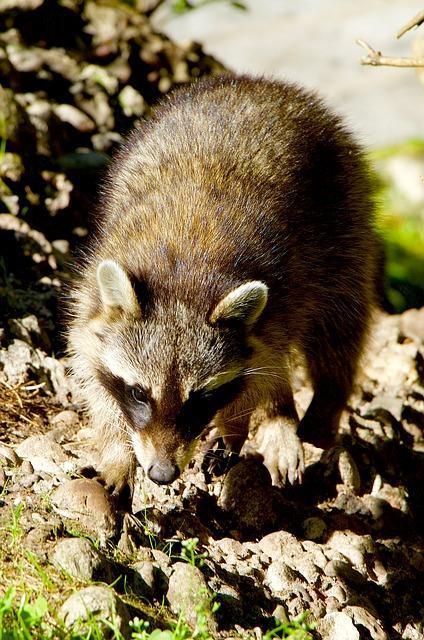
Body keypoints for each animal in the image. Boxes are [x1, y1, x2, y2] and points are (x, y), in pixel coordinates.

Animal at [68, 74, 380, 496]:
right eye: (138, 393)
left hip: (344, 220)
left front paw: (245, 420)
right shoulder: (93, 291)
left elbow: (263, 369)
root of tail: (258, 84)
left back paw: (312, 406)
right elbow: (90, 365)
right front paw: (117, 450)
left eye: (200, 398)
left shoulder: (281, 296)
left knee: (340, 326)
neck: (182, 277)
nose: (162, 473)